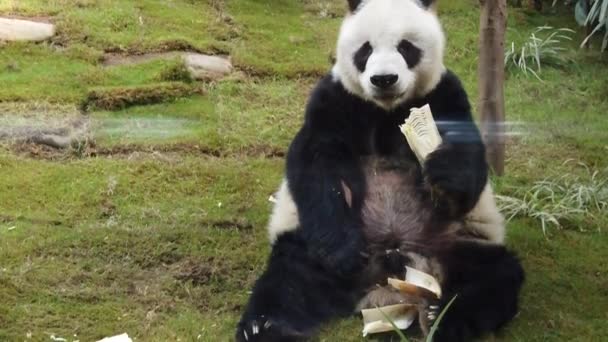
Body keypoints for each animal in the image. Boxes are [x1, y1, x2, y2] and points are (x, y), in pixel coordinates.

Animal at [236, 1, 524, 340]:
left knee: (495, 277)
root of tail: (388, 277)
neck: (386, 110)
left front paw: (442, 181)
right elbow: (315, 164)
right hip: (307, 242)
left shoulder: (444, 93)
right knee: (291, 279)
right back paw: (264, 326)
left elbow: (469, 157)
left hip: (460, 243)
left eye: (406, 47)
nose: (384, 79)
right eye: (365, 50)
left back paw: (442, 317)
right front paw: (344, 252)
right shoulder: (336, 98)